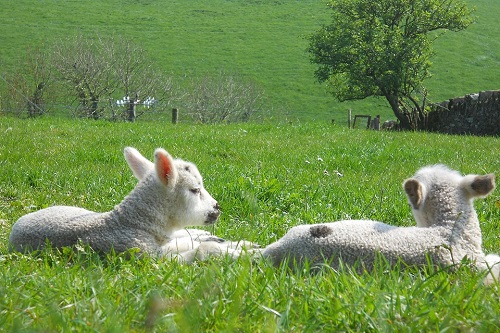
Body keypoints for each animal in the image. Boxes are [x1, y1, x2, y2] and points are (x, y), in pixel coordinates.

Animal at [8, 147, 256, 260]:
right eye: (195, 190)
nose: (217, 208)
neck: (131, 223)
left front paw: (241, 246)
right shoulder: (147, 257)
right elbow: (202, 250)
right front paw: (239, 252)